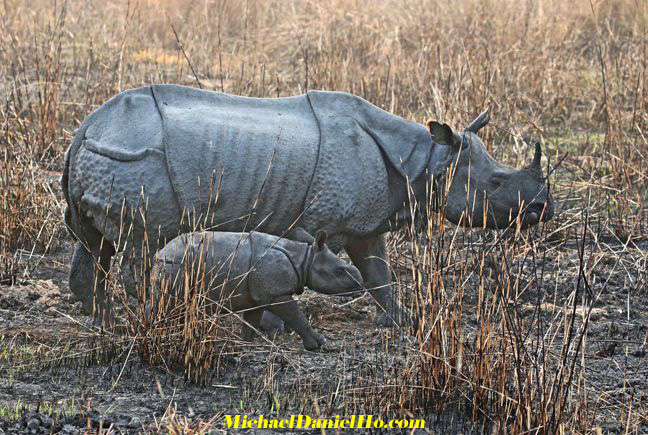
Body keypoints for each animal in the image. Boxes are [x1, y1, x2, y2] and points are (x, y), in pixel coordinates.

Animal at [153, 232, 364, 350]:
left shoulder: (258, 295)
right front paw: (318, 344)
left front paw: (244, 344)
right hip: (178, 265)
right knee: (168, 302)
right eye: (339, 272)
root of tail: (160, 252)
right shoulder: (276, 293)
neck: (304, 260)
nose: (360, 285)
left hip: (176, 264)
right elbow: (297, 317)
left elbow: (251, 321)